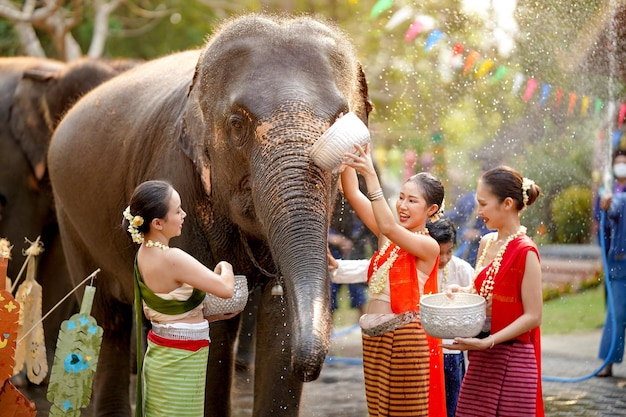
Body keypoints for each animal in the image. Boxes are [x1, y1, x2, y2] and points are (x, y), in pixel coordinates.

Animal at [48, 13, 370, 416]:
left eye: (342, 119)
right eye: (236, 124)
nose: (309, 370)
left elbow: (277, 318)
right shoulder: (176, 176)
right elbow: (210, 317)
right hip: (71, 219)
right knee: (109, 319)